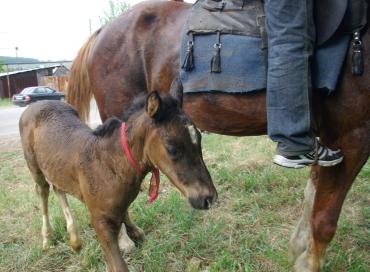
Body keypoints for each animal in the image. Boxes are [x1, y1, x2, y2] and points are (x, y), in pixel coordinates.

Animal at [67, 1, 370, 270]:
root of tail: (102, 31)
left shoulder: (329, 139)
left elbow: (312, 195)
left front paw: (297, 247)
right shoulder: (352, 136)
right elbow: (324, 219)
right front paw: (308, 262)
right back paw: (124, 239)